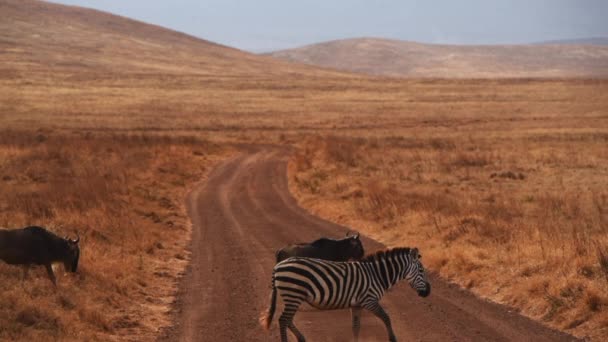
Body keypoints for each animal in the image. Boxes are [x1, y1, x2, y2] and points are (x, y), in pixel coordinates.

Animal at [258, 247, 430, 340]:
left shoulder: (357, 304)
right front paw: (393, 339)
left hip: (293, 296)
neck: (376, 275)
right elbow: (386, 318)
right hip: (293, 294)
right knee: (283, 320)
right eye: (421, 270)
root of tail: (277, 266)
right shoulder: (369, 300)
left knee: (288, 320)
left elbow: (356, 327)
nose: (428, 292)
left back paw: (301, 339)